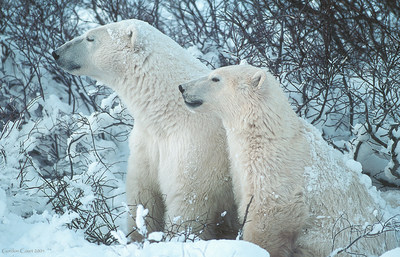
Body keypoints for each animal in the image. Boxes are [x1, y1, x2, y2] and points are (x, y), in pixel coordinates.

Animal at [51, 19, 239, 240]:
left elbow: (187, 203)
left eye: (90, 38)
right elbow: (143, 195)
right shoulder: (148, 142)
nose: (56, 52)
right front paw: (138, 236)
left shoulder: (197, 150)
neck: (168, 113)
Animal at [180, 64, 398, 256]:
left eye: (215, 78)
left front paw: (253, 247)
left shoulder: (276, 171)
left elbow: (268, 216)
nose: (182, 87)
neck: (266, 134)